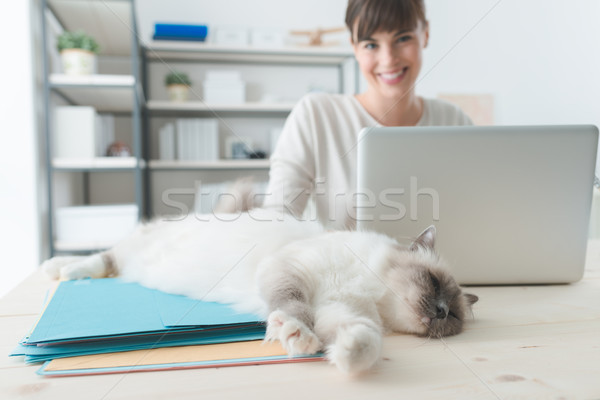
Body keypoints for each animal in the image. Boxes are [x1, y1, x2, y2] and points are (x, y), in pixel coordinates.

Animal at [42, 209, 478, 376]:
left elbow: (364, 341)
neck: (368, 291)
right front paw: (297, 337)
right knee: (103, 259)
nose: (441, 311)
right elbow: (294, 308)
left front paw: (344, 355)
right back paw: (63, 271)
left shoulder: (341, 310)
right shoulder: (291, 272)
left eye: (454, 316)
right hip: (133, 254)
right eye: (433, 284)